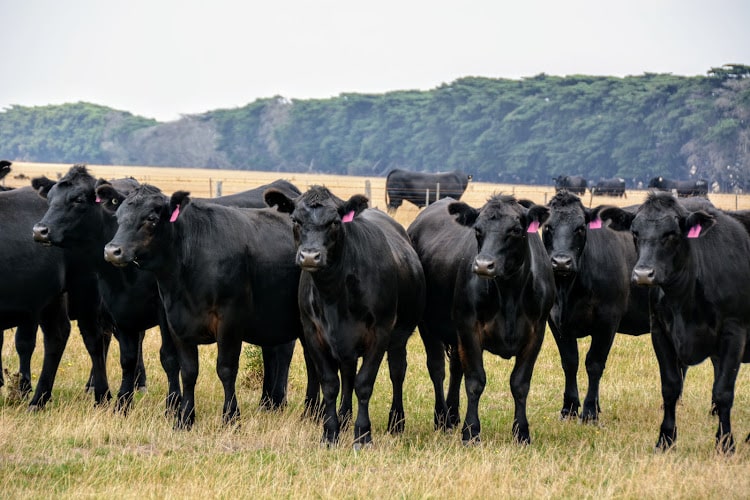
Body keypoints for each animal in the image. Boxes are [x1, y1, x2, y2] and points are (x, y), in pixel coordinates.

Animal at [101, 184, 317, 429]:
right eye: (118, 217)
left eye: (151, 218)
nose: (112, 251)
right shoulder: (177, 323)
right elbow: (188, 371)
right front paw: (184, 418)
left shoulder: (230, 321)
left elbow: (226, 369)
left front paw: (231, 417)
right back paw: (311, 412)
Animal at [264, 185, 425, 448]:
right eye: (295, 220)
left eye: (334, 222)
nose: (310, 256)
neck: (334, 294)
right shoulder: (313, 333)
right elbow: (331, 383)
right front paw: (330, 433)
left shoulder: (380, 333)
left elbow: (364, 383)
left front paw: (363, 434)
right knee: (348, 373)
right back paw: (345, 416)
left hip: (399, 337)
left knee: (397, 372)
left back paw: (396, 422)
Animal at [407, 195, 555, 444]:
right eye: (477, 229)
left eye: (516, 230)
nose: (484, 265)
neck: (509, 292)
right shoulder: (469, 329)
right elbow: (475, 381)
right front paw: (471, 432)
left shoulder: (536, 333)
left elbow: (520, 383)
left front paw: (522, 432)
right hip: (428, 326)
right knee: (437, 369)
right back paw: (442, 418)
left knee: (456, 368)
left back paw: (453, 415)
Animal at [541, 191, 650, 422]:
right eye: (548, 227)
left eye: (580, 228)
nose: (561, 262)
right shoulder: (555, 321)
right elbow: (569, 362)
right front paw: (569, 408)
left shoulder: (607, 320)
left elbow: (594, 364)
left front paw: (590, 411)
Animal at [599, 192, 750, 453]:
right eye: (635, 233)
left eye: (671, 234)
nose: (643, 274)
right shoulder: (660, 332)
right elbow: (670, 387)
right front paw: (665, 439)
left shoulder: (734, 333)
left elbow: (723, 392)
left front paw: (725, 444)